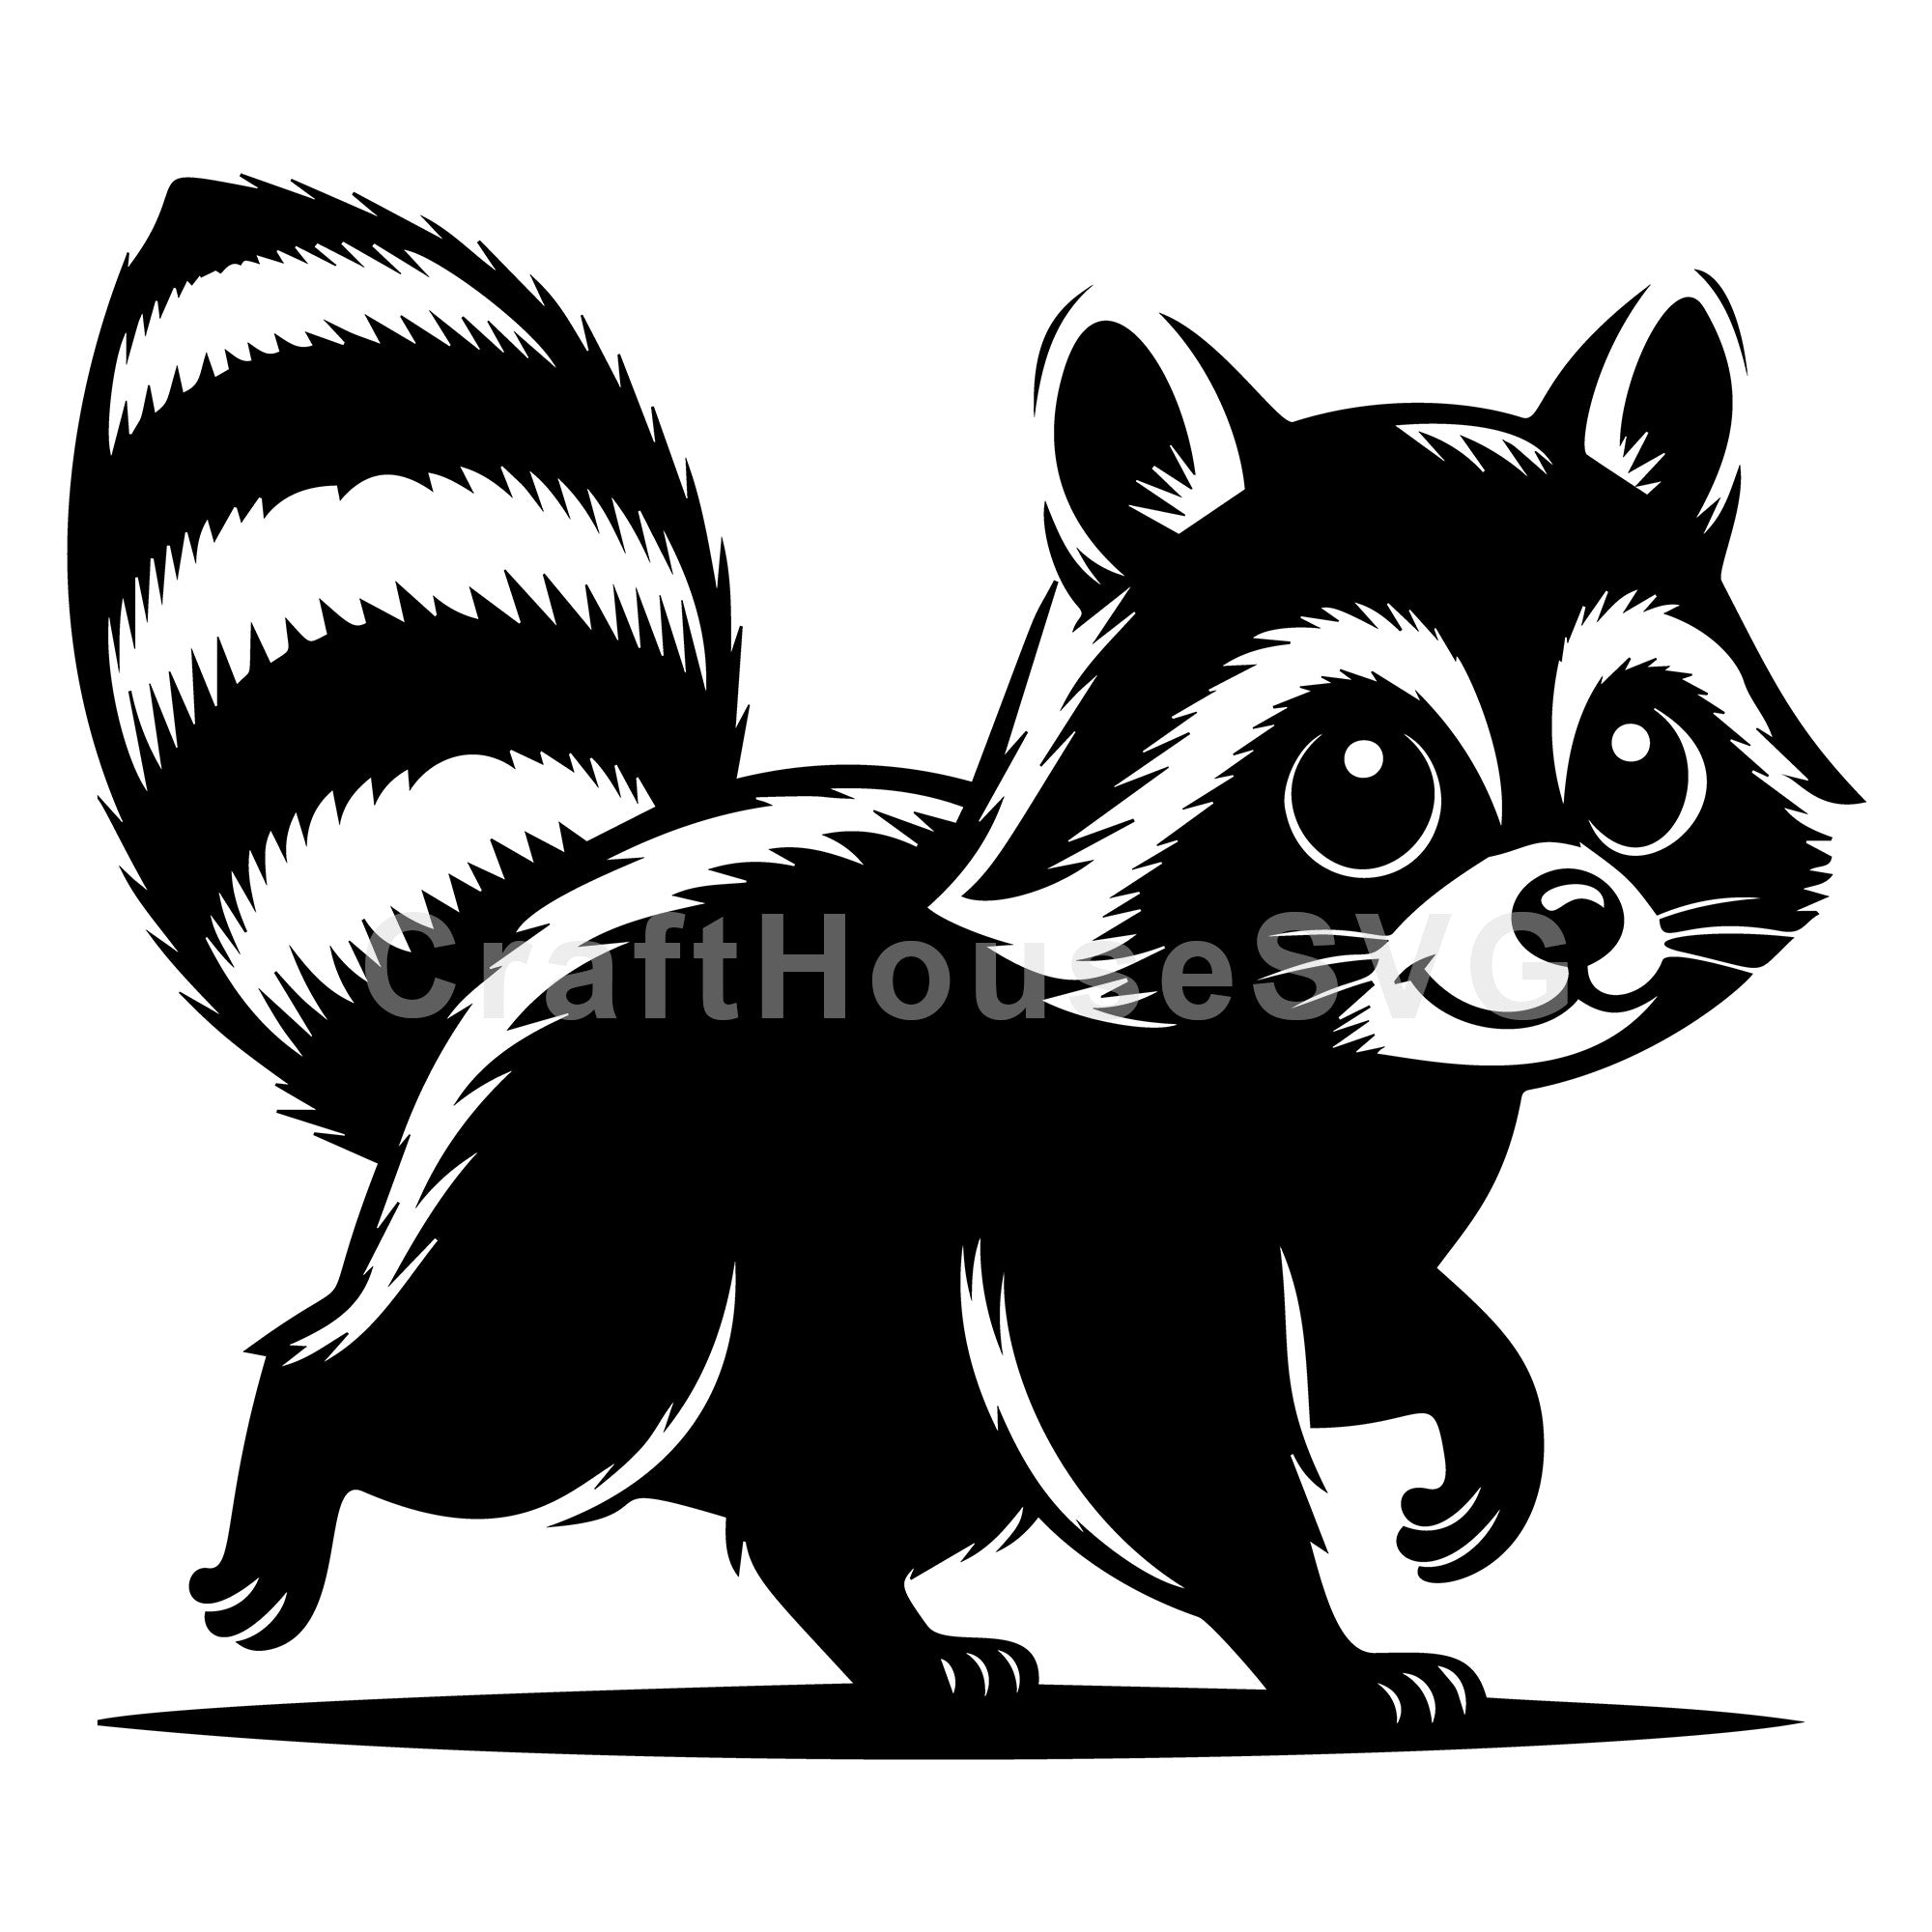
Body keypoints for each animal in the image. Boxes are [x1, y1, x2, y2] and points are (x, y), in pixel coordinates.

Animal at [71, 180, 1851, 1723]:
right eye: (1364, 788)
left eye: (1640, 770)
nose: (1576, 912)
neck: (1320, 1058)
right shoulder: (1076, 1173)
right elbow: (1161, 1430)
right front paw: (1313, 1641)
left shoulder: (1344, 1178)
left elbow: (1355, 1318)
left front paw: (1472, 1388)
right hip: (612, 1217)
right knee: (501, 1396)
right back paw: (302, 1442)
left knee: (843, 1485)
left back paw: (883, 1625)